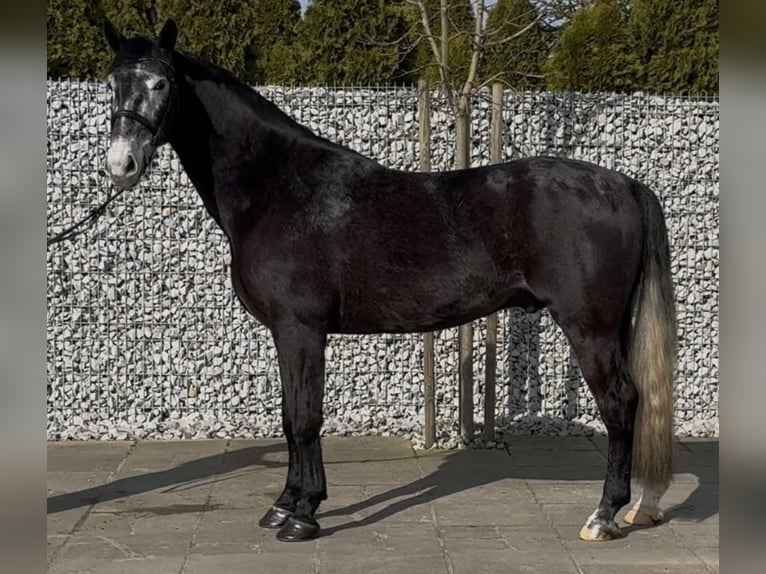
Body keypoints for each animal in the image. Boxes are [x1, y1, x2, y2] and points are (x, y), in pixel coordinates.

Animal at [100, 19, 680, 544]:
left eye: (161, 83)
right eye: (112, 83)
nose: (121, 164)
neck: (280, 189)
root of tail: (625, 185)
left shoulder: (300, 328)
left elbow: (305, 418)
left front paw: (302, 516)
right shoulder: (286, 334)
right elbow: (289, 418)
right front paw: (284, 504)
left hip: (589, 326)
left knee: (620, 403)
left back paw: (604, 516)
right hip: (613, 326)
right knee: (643, 399)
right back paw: (641, 507)